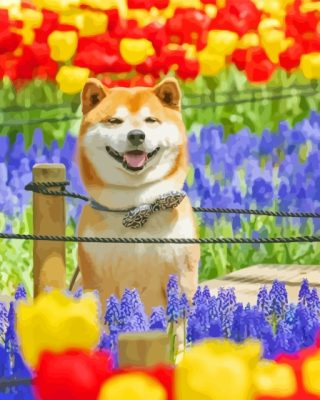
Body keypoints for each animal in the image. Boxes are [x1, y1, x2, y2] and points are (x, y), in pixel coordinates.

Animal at [75, 77, 200, 316]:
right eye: (114, 121)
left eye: (151, 120)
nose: (136, 135)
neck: (136, 205)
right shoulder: (98, 279)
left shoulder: (181, 276)